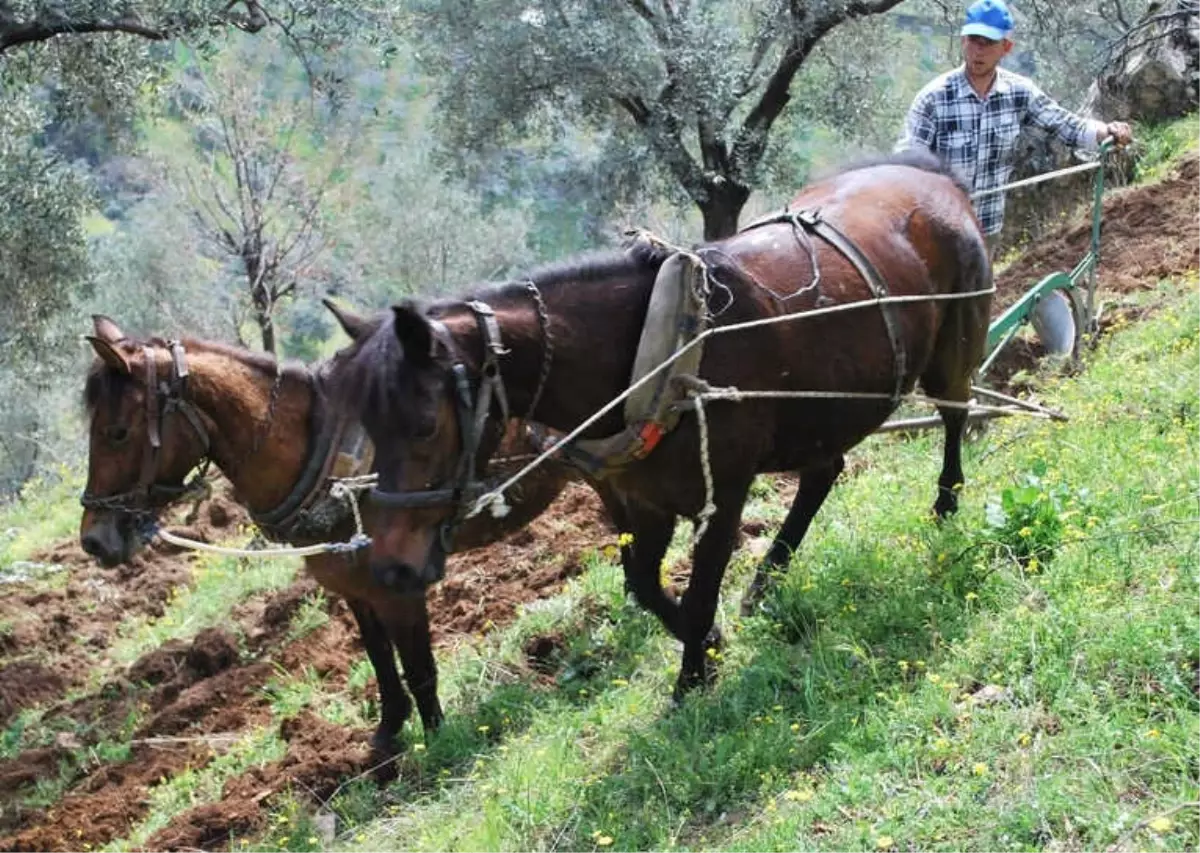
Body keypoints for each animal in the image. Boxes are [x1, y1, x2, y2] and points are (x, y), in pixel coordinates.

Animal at [81, 316, 576, 748]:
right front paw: (388, 734)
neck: (324, 462)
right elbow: (379, 658)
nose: (93, 540)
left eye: (116, 432)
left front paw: (437, 741)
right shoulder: (355, 590)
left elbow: (419, 668)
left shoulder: (397, 590)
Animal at [324, 151, 988, 700]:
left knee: (955, 414)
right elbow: (644, 584)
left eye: (423, 425)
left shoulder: (723, 494)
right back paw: (766, 581)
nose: (391, 569)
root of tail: (934, 176)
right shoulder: (644, 499)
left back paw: (946, 503)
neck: (652, 355)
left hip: (952, 346)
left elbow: (698, 589)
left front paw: (691, 680)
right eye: (368, 429)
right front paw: (710, 647)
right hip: (823, 410)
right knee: (824, 473)